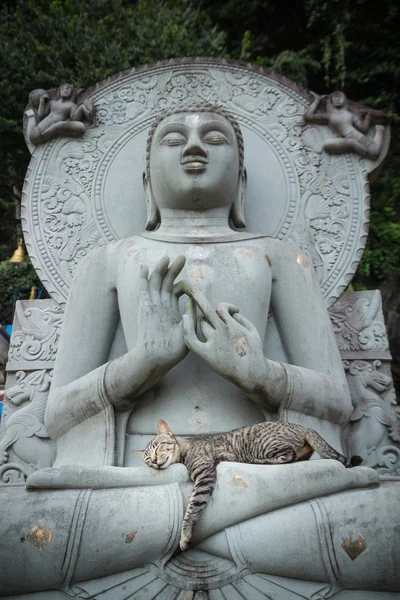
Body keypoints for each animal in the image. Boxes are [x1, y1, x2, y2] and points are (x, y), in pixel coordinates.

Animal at [136, 420, 360, 552]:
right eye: (147, 458)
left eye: (158, 447)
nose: (154, 461)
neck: (185, 447)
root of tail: (302, 426)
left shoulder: (205, 475)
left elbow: (191, 509)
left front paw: (184, 536)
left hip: (265, 445)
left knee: (288, 457)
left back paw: (257, 461)